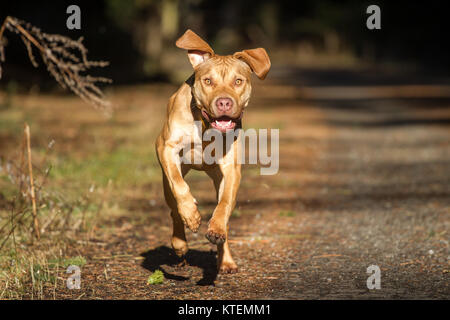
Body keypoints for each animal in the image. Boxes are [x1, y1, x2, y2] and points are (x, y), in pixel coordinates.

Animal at [156, 29, 270, 272]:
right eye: (208, 81)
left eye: (238, 81)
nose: (224, 102)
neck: (205, 125)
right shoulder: (166, 148)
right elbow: (179, 185)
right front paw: (191, 214)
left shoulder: (231, 170)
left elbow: (224, 205)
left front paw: (216, 229)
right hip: (167, 183)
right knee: (173, 208)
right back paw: (180, 243)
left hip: (219, 178)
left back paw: (225, 259)